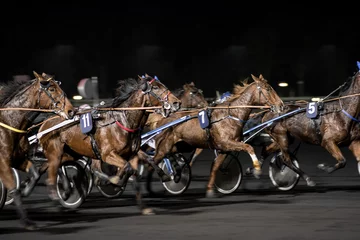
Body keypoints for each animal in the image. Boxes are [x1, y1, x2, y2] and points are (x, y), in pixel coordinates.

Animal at [0, 71, 74, 231]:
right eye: (51, 88)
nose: (71, 110)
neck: (9, 123)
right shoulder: (3, 162)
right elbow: (14, 191)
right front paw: (27, 222)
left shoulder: (18, 158)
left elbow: (34, 174)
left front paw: (26, 189)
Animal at [37, 74, 180, 214]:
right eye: (155, 87)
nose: (176, 102)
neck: (124, 121)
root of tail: (46, 121)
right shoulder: (107, 155)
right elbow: (127, 168)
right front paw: (115, 182)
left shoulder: (132, 154)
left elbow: (136, 170)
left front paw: (144, 206)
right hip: (56, 153)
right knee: (52, 174)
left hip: (70, 153)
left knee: (46, 168)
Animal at [141, 74, 284, 197]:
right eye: (268, 89)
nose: (281, 105)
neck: (231, 115)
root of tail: (162, 121)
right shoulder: (227, 143)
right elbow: (249, 147)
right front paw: (257, 169)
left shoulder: (224, 148)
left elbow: (215, 167)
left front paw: (210, 188)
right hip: (164, 147)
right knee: (152, 162)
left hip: (180, 145)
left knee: (159, 159)